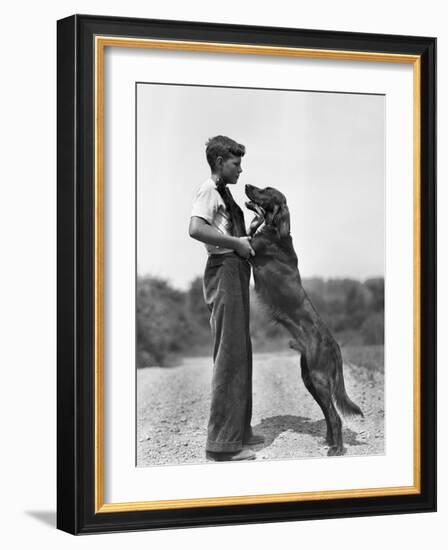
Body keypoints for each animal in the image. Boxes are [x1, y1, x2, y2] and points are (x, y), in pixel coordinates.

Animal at [245, 185, 364, 458]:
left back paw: (337, 449)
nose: (246, 186)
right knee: (328, 414)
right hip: (309, 378)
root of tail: (334, 344)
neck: (276, 230)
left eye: (266, 190)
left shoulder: (249, 248)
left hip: (319, 378)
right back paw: (329, 441)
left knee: (335, 416)